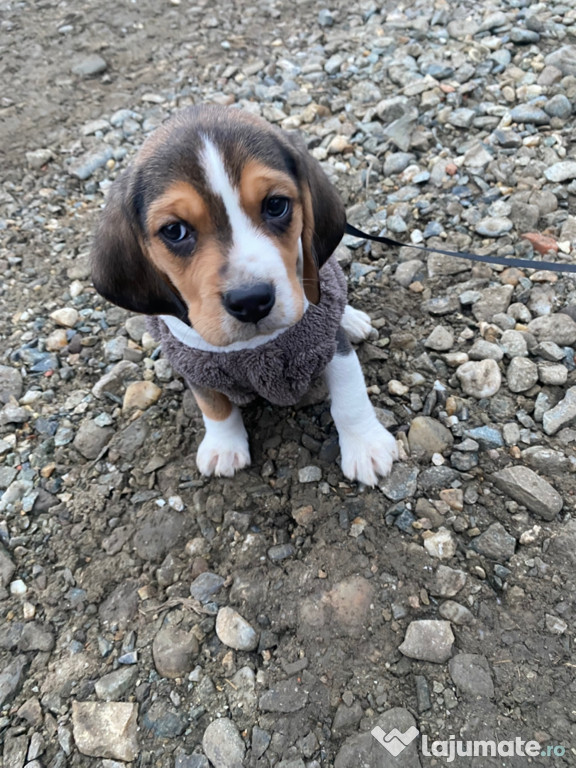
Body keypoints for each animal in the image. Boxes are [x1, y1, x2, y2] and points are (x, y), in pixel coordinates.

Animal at [92, 103, 398, 486]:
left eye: (276, 205)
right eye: (174, 230)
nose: (251, 301)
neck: (251, 347)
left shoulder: (329, 341)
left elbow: (349, 394)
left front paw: (365, 445)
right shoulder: (195, 365)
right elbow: (214, 405)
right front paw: (223, 447)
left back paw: (354, 319)